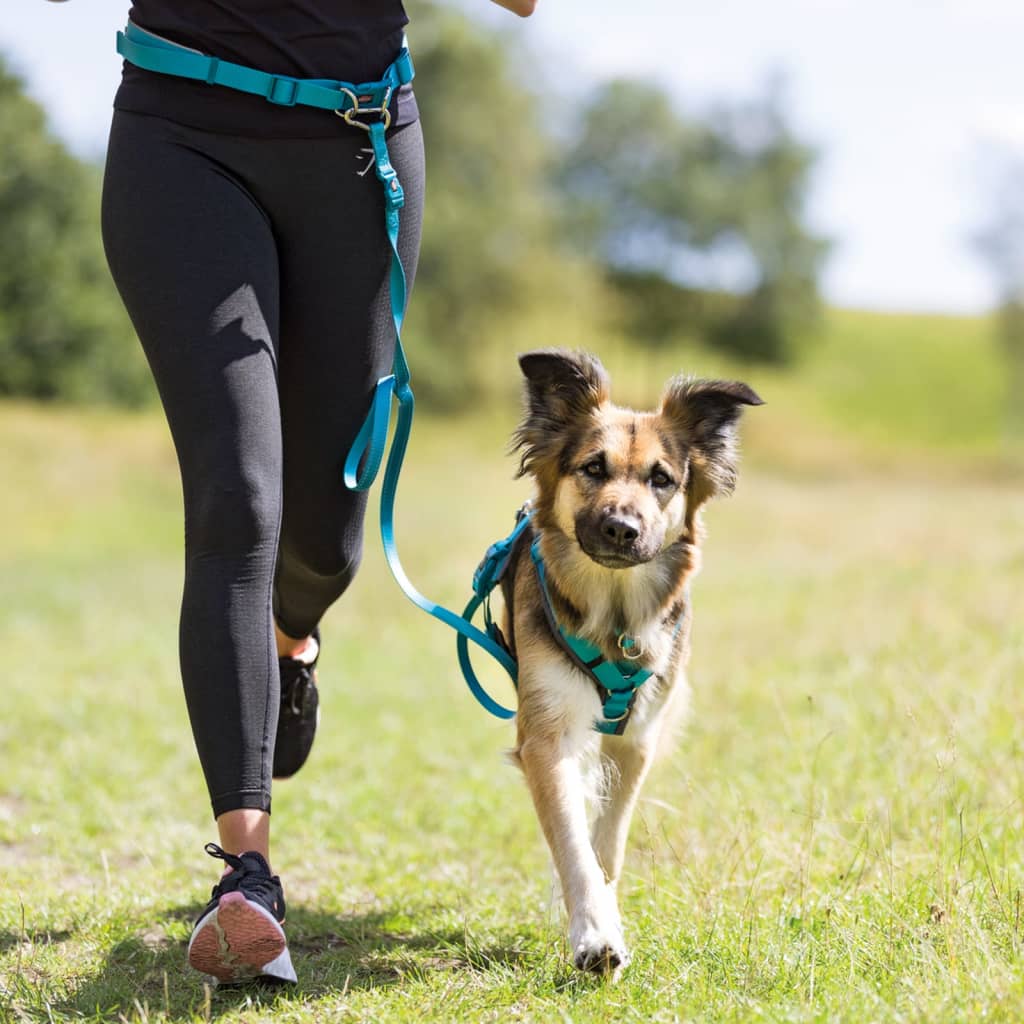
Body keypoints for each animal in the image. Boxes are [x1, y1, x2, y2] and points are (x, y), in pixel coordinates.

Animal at [497, 350, 761, 974]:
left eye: (661, 479)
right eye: (593, 467)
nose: (622, 528)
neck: (614, 612)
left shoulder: (637, 736)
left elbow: (606, 845)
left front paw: (599, 910)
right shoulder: (549, 733)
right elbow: (573, 843)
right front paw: (595, 935)